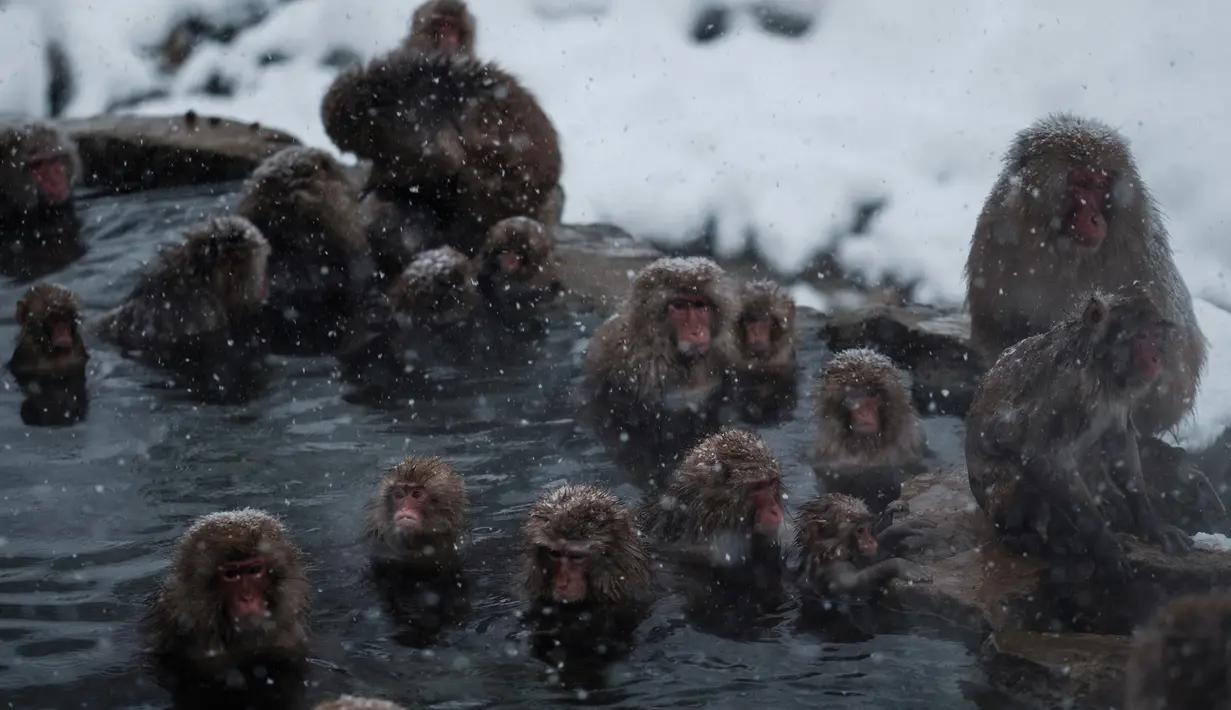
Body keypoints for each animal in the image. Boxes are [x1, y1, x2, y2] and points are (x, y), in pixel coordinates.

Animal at [792, 493, 932, 604]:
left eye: (867, 527)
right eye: (859, 530)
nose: (870, 540)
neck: (833, 551)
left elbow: (873, 557)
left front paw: (895, 522)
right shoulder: (834, 566)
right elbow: (851, 585)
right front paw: (901, 564)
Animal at [965, 113, 1206, 437]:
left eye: (1101, 185)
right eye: (1081, 183)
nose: (1093, 218)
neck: (1064, 250)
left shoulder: (1137, 250)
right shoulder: (996, 235)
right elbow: (999, 326)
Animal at [965, 284, 1195, 586]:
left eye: (1155, 337)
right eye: (1141, 337)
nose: (1156, 358)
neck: (1100, 369)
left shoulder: (1120, 395)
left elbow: (1118, 443)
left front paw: (1151, 523)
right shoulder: (1064, 391)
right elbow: (1040, 456)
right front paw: (1105, 544)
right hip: (994, 503)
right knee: (1018, 477)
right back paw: (1028, 538)